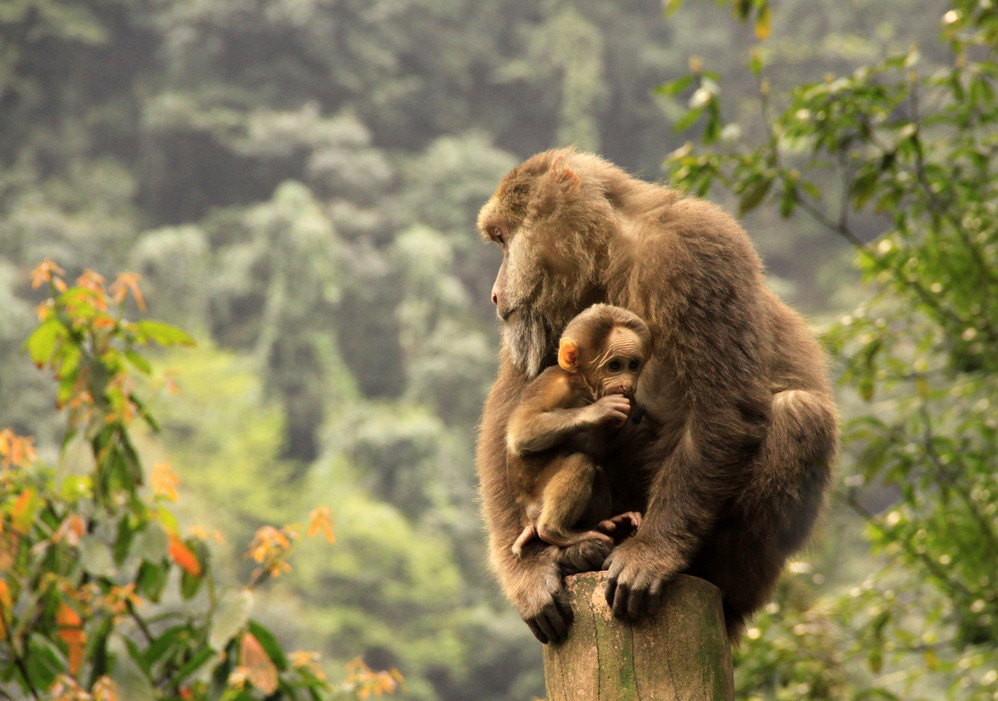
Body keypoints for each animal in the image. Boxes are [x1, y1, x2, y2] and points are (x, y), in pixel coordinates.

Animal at [512, 304, 652, 556]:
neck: (584, 387)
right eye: (615, 365)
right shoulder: (554, 385)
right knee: (581, 462)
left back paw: (607, 523)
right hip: (537, 505)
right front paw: (600, 409)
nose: (627, 385)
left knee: (597, 469)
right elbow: (520, 432)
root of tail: (526, 518)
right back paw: (554, 531)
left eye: (633, 364)